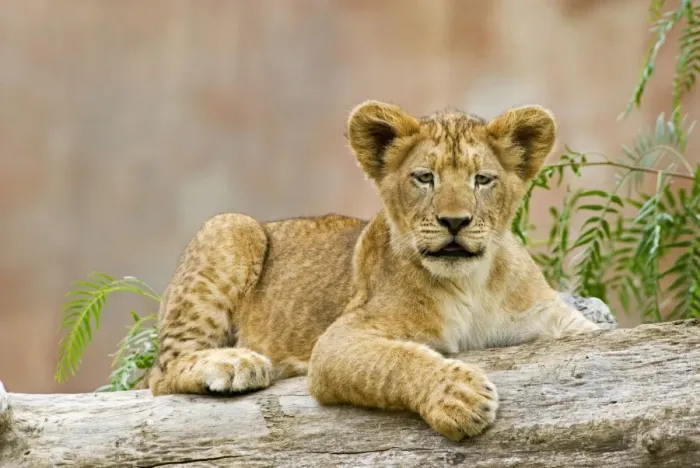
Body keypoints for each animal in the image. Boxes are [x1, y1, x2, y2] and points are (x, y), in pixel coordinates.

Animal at [145, 100, 600, 440]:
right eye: (424, 177)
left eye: (482, 180)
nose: (455, 222)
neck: (472, 282)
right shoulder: (338, 342)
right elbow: (398, 360)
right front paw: (460, 398)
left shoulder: (552, 319)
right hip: (231, 226)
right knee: (161, 373)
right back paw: (236, 364)